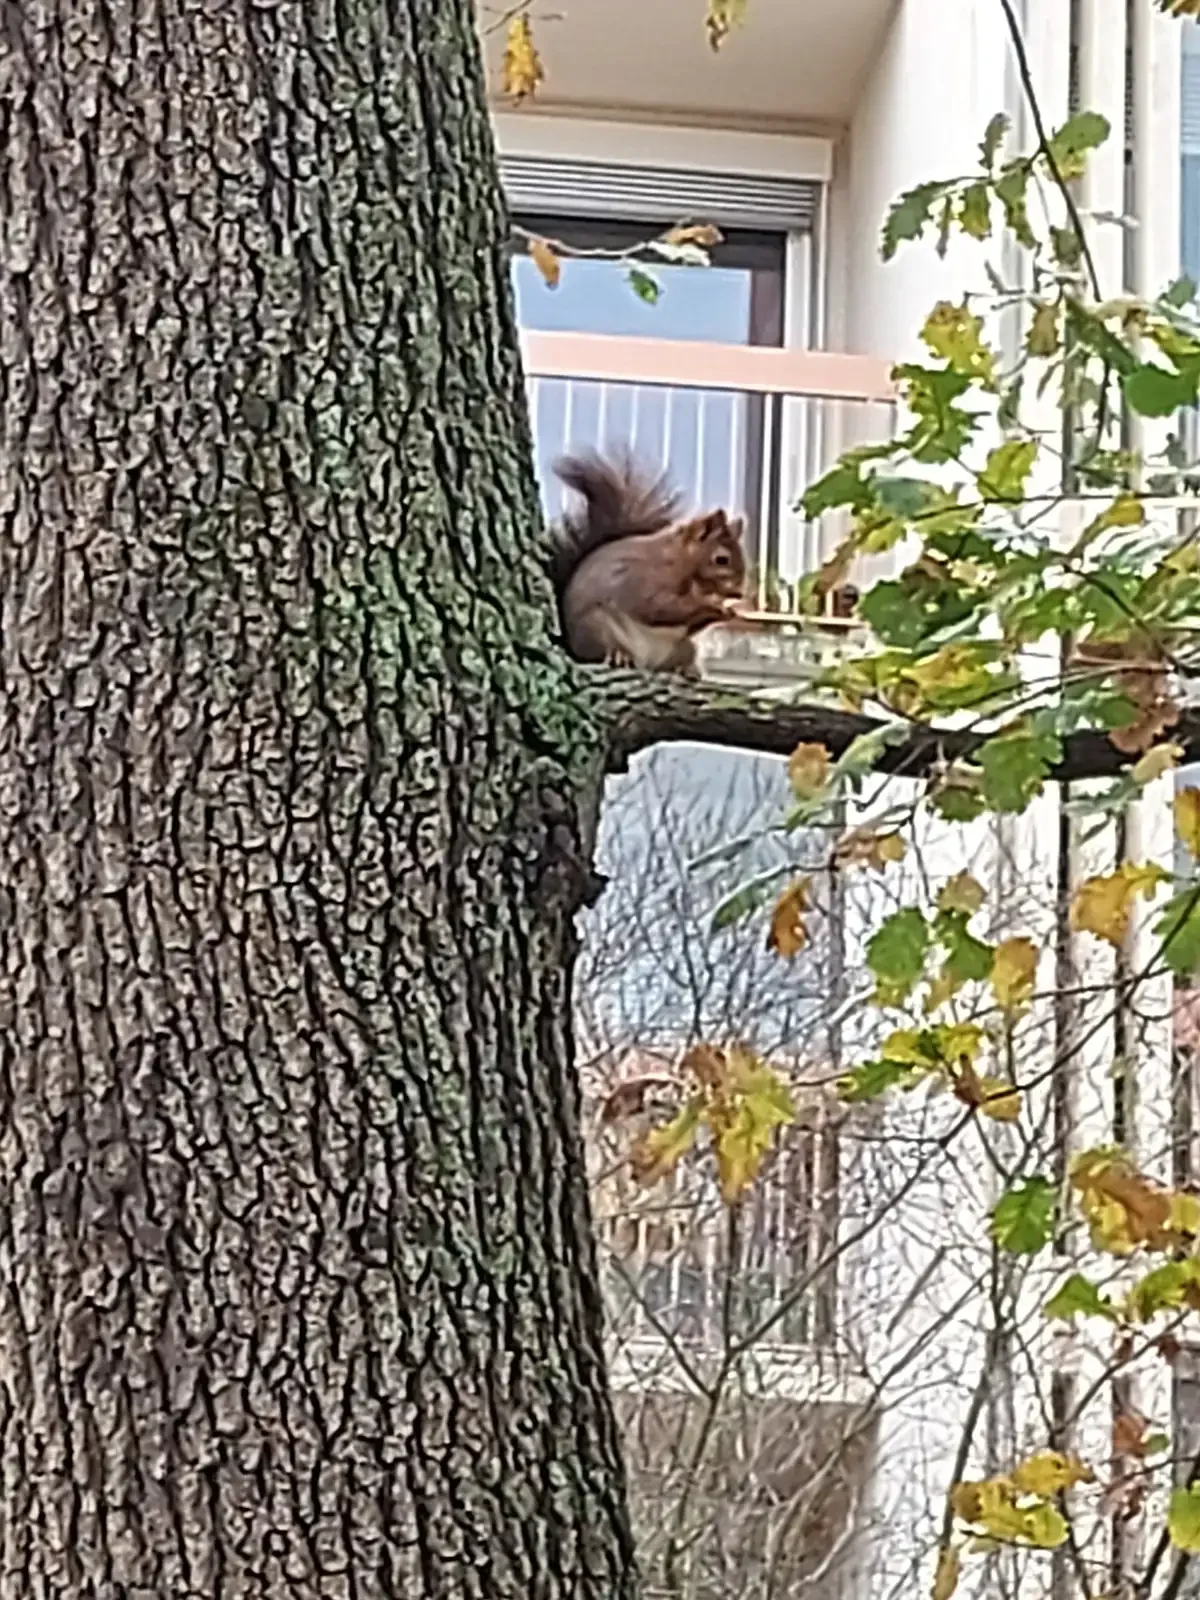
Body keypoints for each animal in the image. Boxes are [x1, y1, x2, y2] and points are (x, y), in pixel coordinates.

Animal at [549, 448, 748, 675]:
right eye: (721, 559)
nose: (740, 593)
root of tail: (648, 662)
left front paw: (726, 611)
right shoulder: (647, 581)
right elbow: (661, 607)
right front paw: (712, 607)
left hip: (684, 647)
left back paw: (689, 670)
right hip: (597, 625)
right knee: (599, 649)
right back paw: (619, 655)